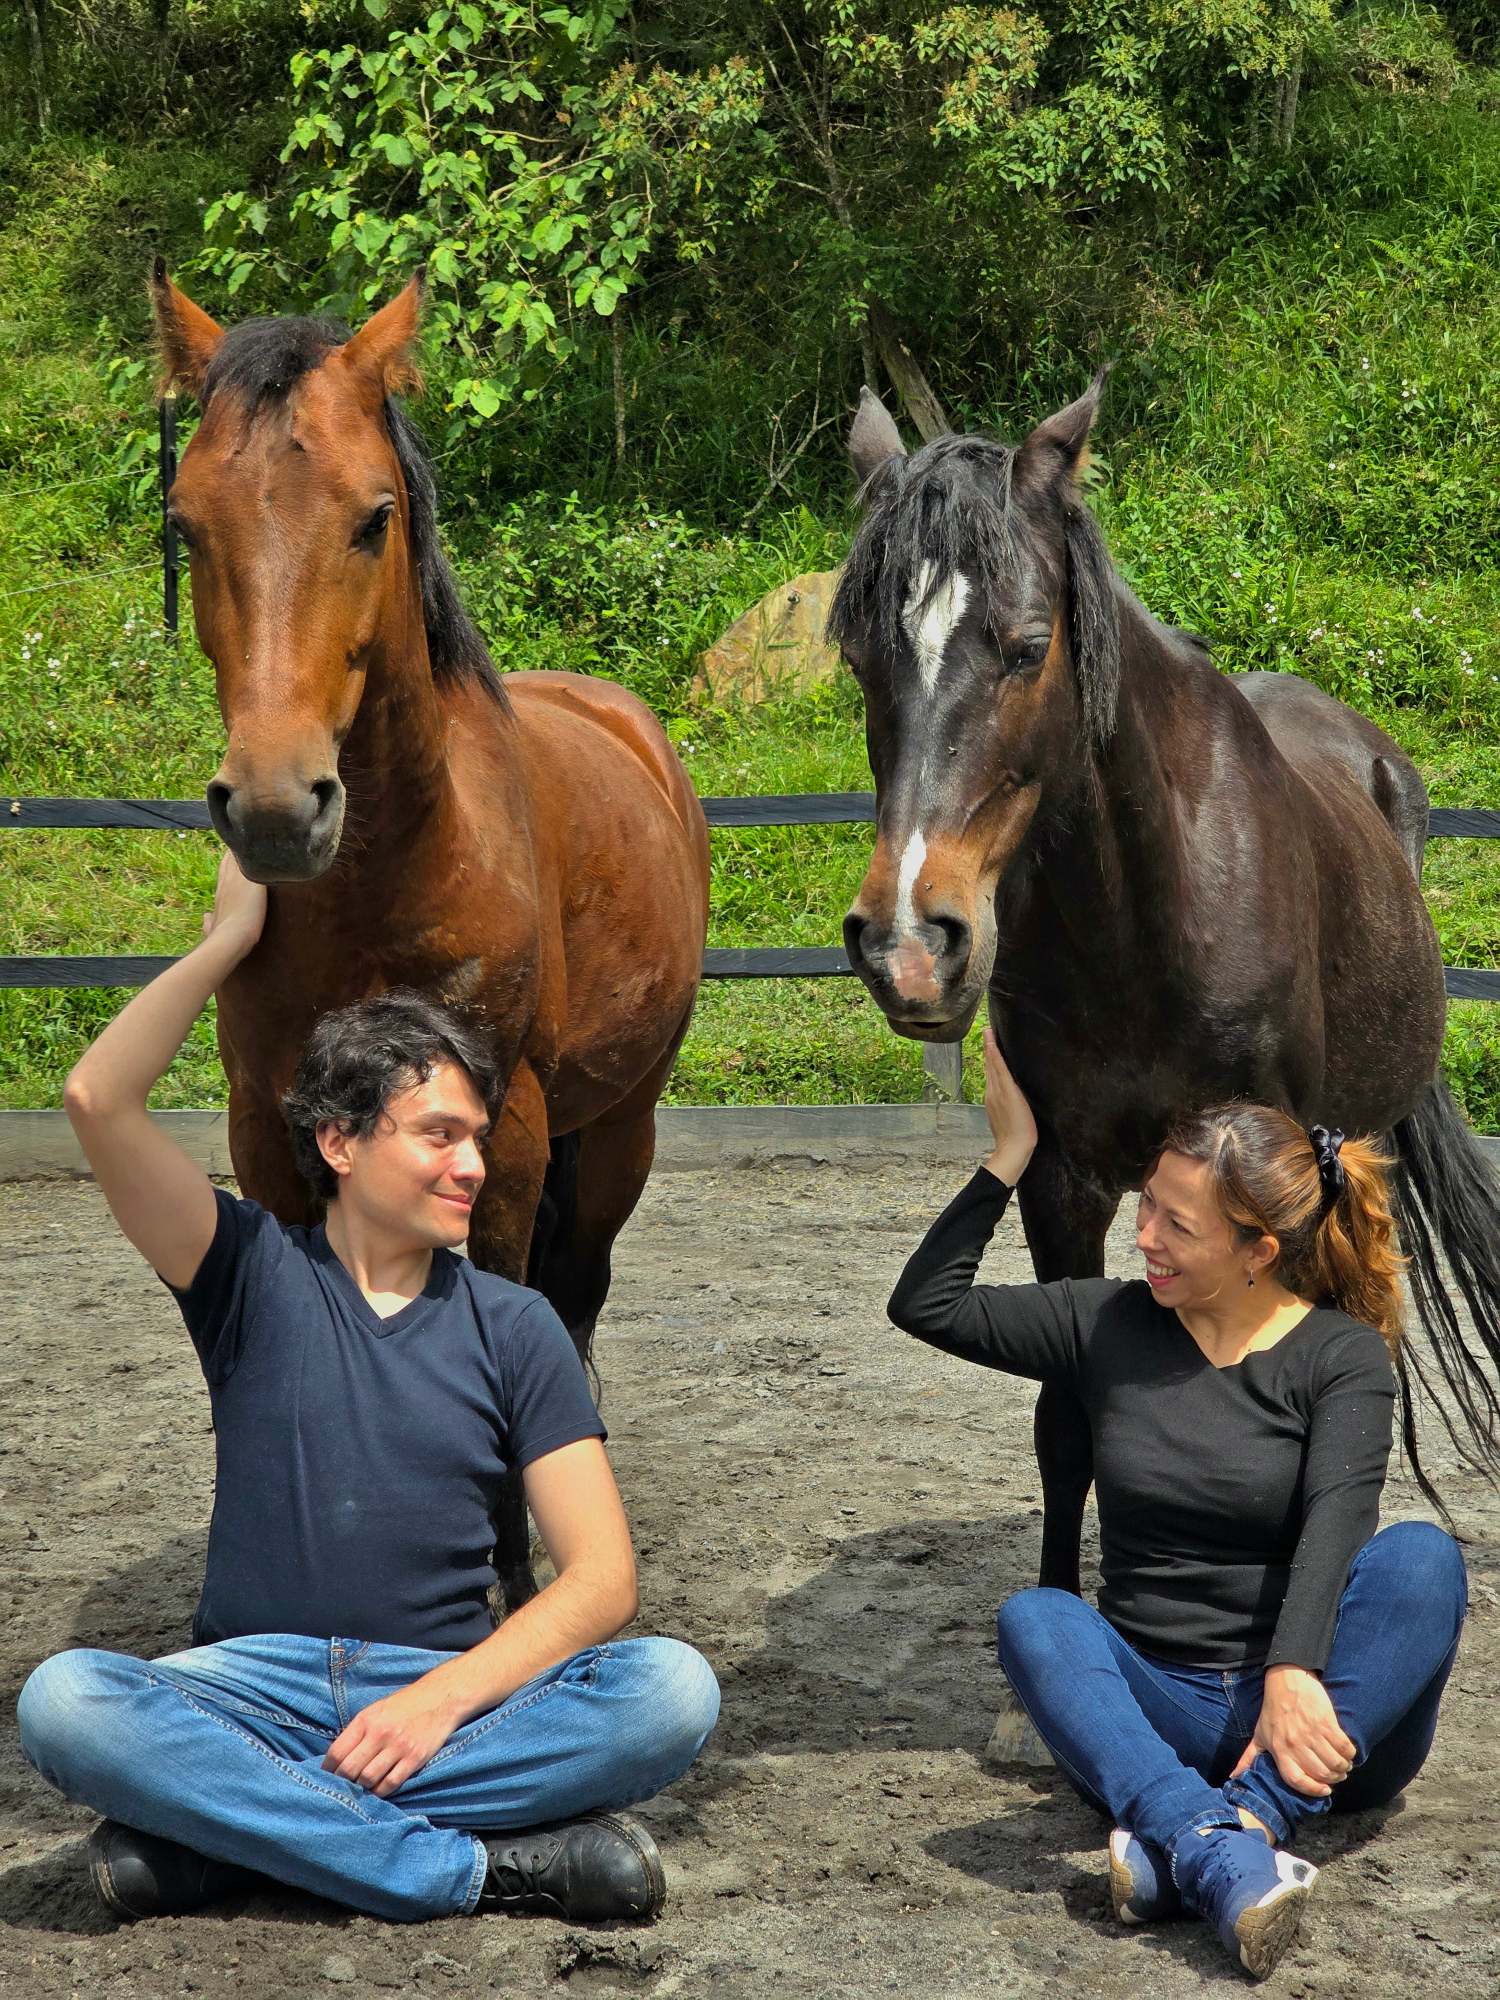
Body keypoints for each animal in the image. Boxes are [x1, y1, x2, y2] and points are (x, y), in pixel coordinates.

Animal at [150, 263, 710, 1609]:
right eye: (188, 525)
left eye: (372, 519)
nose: (276, 806)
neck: (381, 884)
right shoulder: (266, 1134)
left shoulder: (505, 1132)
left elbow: (501, 1316)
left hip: (619, 1129)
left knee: (573, 1297)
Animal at [830, 376, 1500, 1642]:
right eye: (859, 658)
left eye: (1025, 647)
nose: (908, 948)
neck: (1144, 918)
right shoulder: (1060, 1182)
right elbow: (1067, 1427)